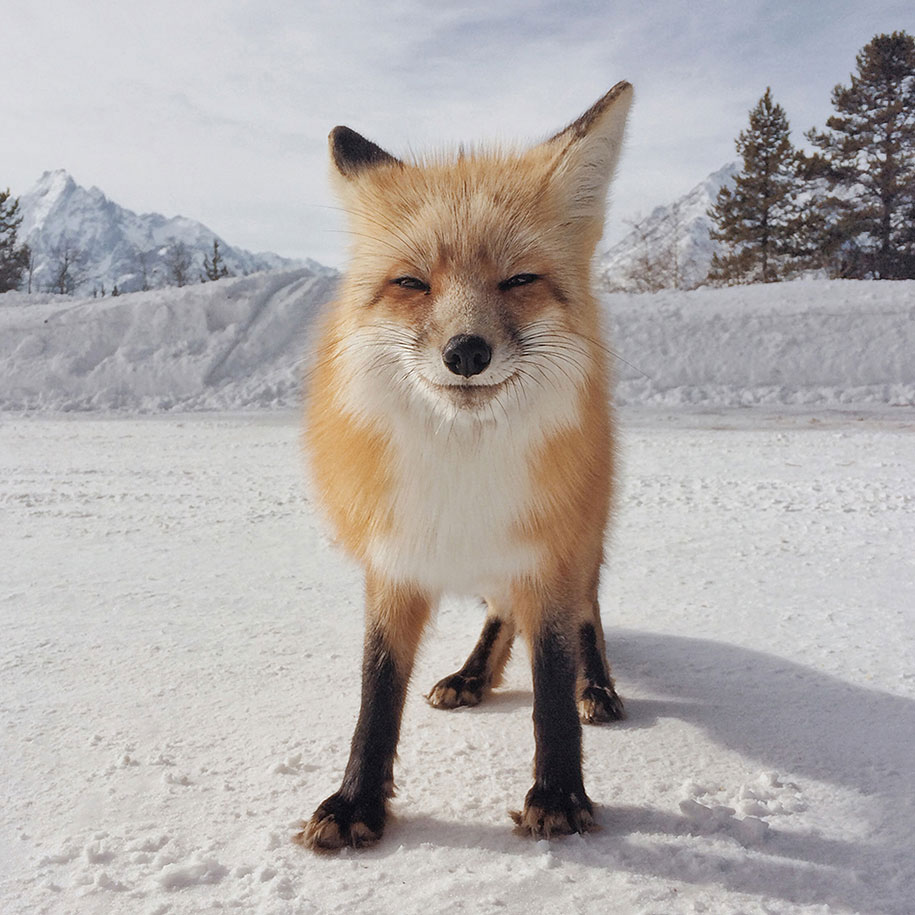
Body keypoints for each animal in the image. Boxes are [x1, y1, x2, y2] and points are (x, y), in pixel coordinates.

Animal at [297, 81, 633, 851]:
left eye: (518, 280)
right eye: (411, 283)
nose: (466, 352)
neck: (463, 471)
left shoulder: (550, 553)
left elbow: (552, 684)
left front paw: (559, 795)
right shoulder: (394, 558)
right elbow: (377, 689)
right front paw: (356, 802)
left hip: (582, 539)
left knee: (590, 617)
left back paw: (598, 687)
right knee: (500, 614)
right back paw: (472, 674)